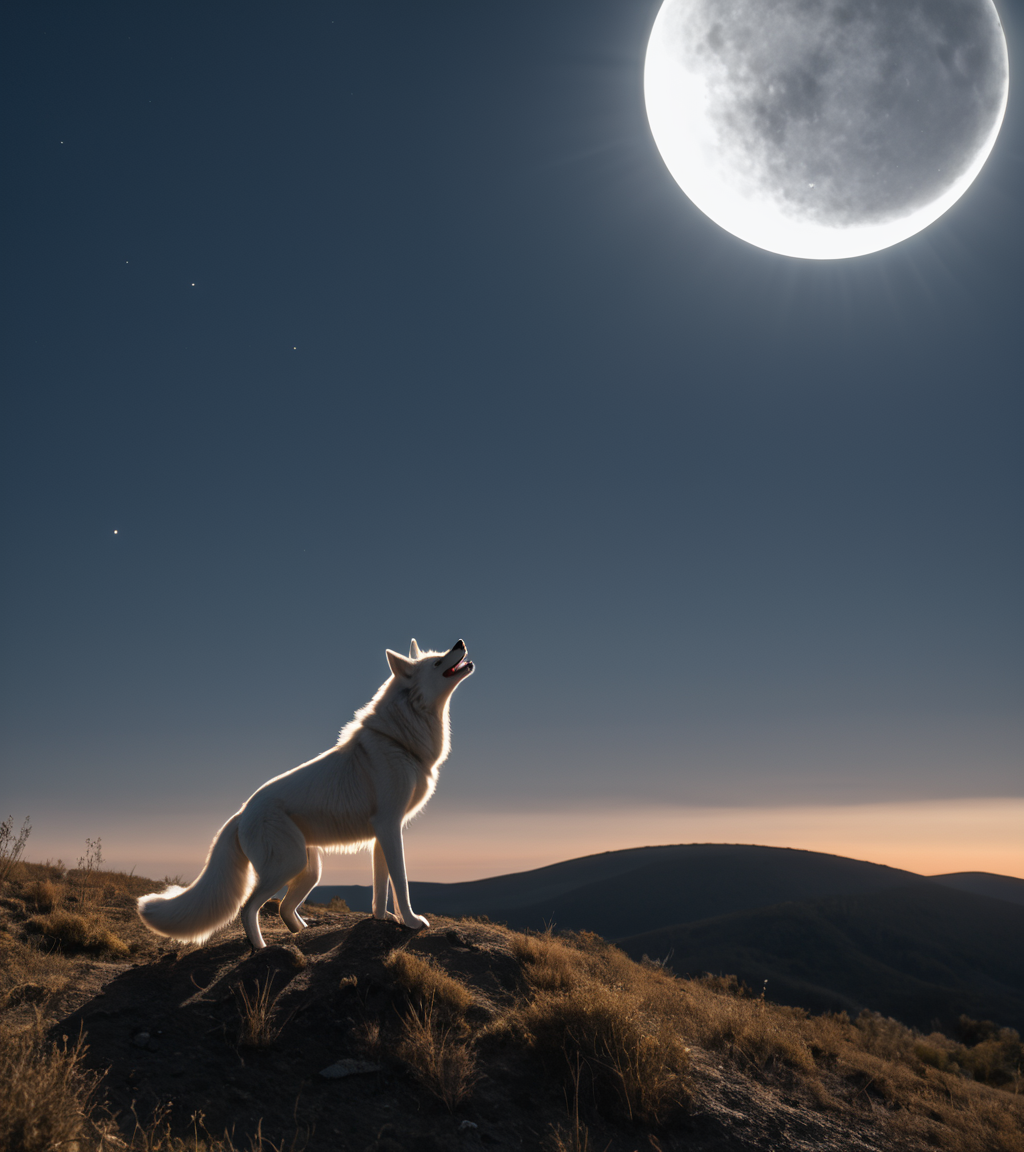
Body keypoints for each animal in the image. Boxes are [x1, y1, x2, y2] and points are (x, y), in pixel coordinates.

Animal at [137, 638, 474, 950]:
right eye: (437, 661)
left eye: (442, 653)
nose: (460, 643)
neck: (400, 739)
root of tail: (241, 812)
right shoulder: (390, 828)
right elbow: (401, 884)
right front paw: (413, 922)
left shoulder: (383, 833)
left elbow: (381, 888)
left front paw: (383, 919)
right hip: (289, 865)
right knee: (249, 908)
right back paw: (261, 949)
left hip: (309, 870)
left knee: (285, 909)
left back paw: (301, 933)